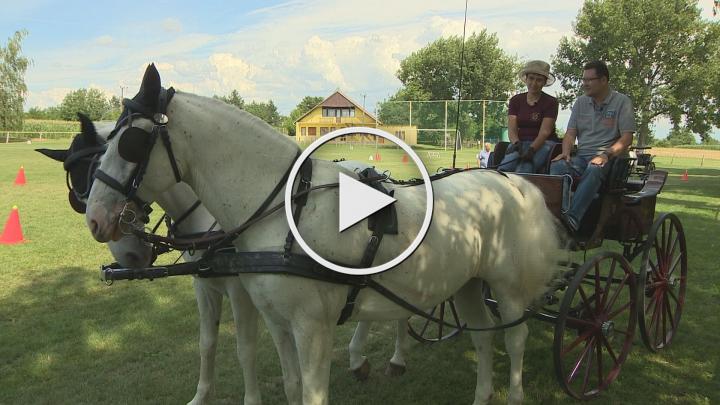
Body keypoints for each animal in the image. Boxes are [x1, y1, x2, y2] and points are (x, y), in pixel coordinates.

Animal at [83, 64, 556, 402]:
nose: (95, 219)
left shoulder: (312, 328)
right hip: (467, 284)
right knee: (483, 339)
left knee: (514, 338)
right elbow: (291, 386)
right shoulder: (277, 321)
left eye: (129, 143)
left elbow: (310, 394)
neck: (285, 211)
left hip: (506, 289)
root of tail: (510, 182)